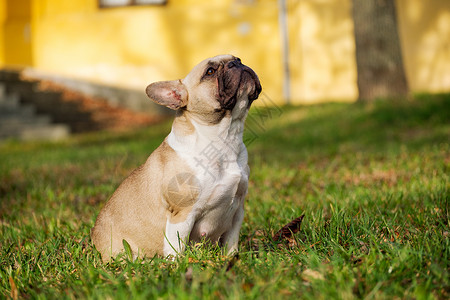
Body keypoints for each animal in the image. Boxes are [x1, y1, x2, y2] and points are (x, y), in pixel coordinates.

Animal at [91, 55, 260, 262]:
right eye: (210, 72)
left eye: (238, 58)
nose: (236, 63)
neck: (224, 138)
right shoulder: (182, 214)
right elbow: (176, 246)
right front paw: (177, 265)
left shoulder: (237, 211)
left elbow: (231, 242)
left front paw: (231, 259)